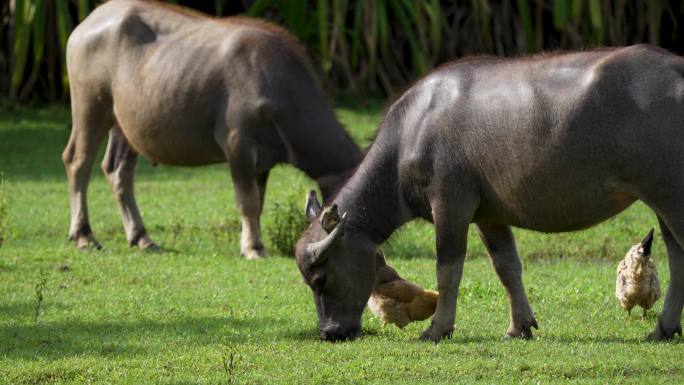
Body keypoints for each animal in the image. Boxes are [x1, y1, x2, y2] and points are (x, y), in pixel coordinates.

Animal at [62, 1, 364, 258]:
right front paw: (253, 248)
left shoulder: (262, 162)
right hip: (90, 106)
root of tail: (87, 23)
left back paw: (141, 237)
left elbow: (259, 202)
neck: (280, 89)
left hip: (124, 124)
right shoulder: (237, 144)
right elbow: (248, 201)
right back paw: (84, 235)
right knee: (78, 162)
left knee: (118, 170)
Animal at [296, 45, 684, 342]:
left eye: (320, 279)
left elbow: (448, 269)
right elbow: (506, 266)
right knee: (676, 255)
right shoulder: (489, 214)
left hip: (669, 195)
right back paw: (663, 328)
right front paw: (519, 326)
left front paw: (437, 329)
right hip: (664, 201)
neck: (411, 133)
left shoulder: (450, 204)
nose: (330, 333)